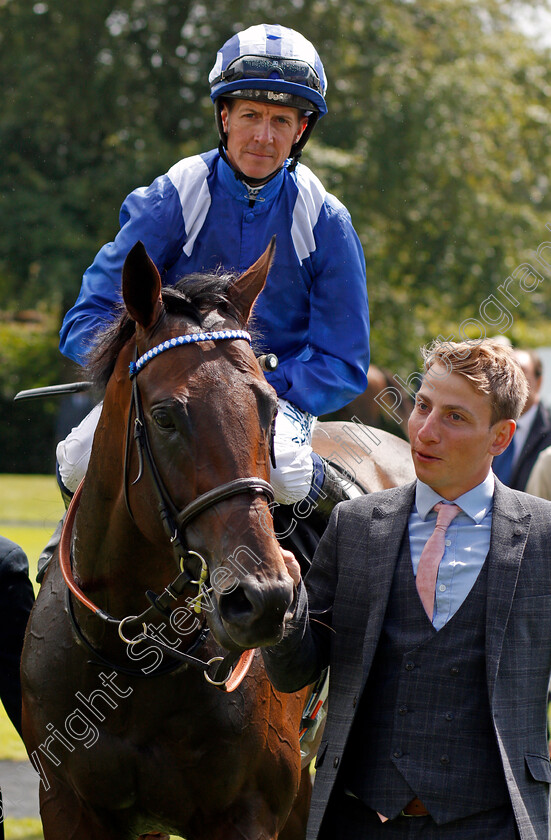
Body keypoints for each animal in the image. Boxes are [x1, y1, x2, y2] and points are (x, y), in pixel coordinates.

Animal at [20, 240, 414, 836]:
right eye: (165, 417)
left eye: (268, 407)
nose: (264, 599)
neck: (133, 652)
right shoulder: (68, 804)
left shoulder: (249, 811)